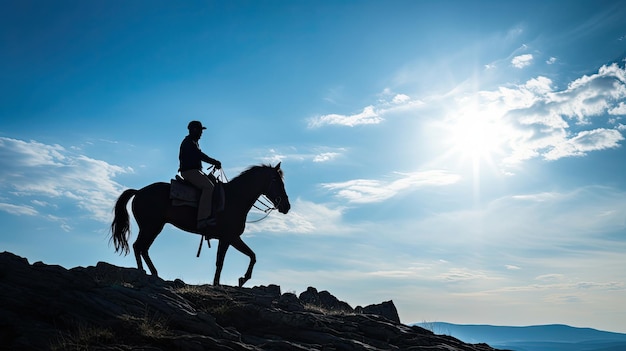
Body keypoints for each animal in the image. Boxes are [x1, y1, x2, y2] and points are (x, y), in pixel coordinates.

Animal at [110, 164, 290, 288]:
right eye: (275, 180)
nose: (286, 206)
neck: (235, 198)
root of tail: (139, 192)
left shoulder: (227, 239)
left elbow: (235, 259)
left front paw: (224, 282)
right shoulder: (230, 238)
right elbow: (238, 258)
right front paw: (240, 279)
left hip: (154, 227)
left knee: (143, 248)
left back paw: (153, 273)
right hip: (150, 227)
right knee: (138, 246)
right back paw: (143, 273)